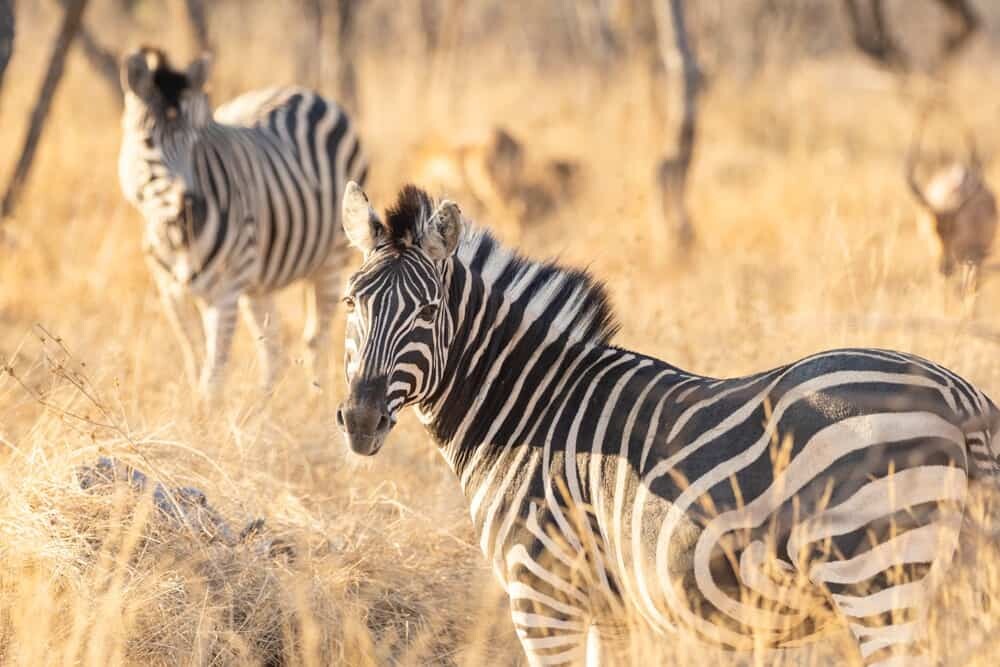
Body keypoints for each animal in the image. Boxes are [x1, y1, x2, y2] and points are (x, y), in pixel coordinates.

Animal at [118, 48, 368, 402]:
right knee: (273, 346)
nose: (193, 211)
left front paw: (206, 414)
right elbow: (195, 361)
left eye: (196, 142)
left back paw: (315, 399)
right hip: (258, 280)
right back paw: (264, 405)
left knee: (314, 339)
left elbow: (213, 373)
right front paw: (197, 409)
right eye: (148, 142)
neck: (177, 240)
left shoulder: (224, 294)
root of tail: (302, 91)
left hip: (330, 259)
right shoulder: (171, 293)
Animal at [336, 183, 1000, 667]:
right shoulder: (608, 607)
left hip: (877, 578)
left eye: (427, 311)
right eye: (350, 303)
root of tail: (955, 390)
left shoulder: (543, 594)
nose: (360, 418)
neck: (529, 408)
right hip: (956, 591)